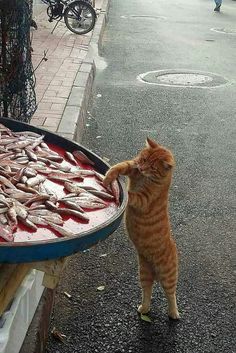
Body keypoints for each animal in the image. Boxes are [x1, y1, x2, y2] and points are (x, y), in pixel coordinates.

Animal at [103, 136, 179, 318]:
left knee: (171, 293)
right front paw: (110, 175)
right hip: (144, 272)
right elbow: (122, 165)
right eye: (143, 159)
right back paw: (144, 308)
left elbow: (132, 195)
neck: (145, 177)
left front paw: (121, 190)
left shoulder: (145, 199)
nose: (142, 167)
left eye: (152, 167)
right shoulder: (133, 167)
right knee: (147, 292)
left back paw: (173, 312)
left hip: (168, 274)